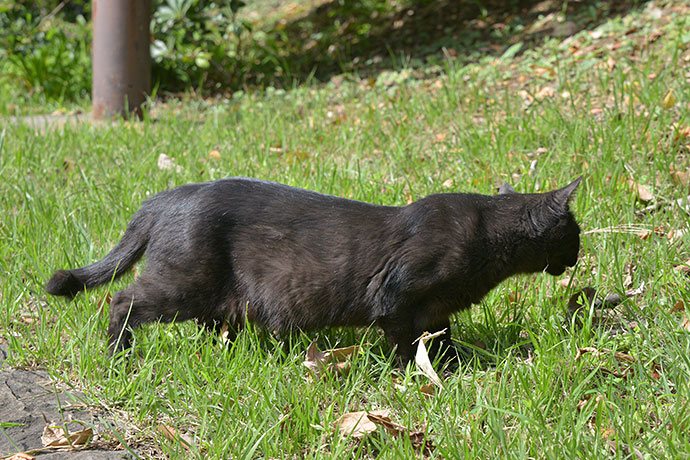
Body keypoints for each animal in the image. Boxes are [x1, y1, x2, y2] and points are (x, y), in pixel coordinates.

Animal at [45, 174, 576, 362]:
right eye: (575, 232)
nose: (577, 256)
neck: (488, 233)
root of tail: (162, 197)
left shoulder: (435, 311)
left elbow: (440, 340)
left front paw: (454, 368)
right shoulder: (397, 300)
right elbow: (408, 346)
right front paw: (417, 377)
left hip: (218, 297)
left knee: (213, 325)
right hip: (184, 284)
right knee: (122, 300)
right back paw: (119, 357)